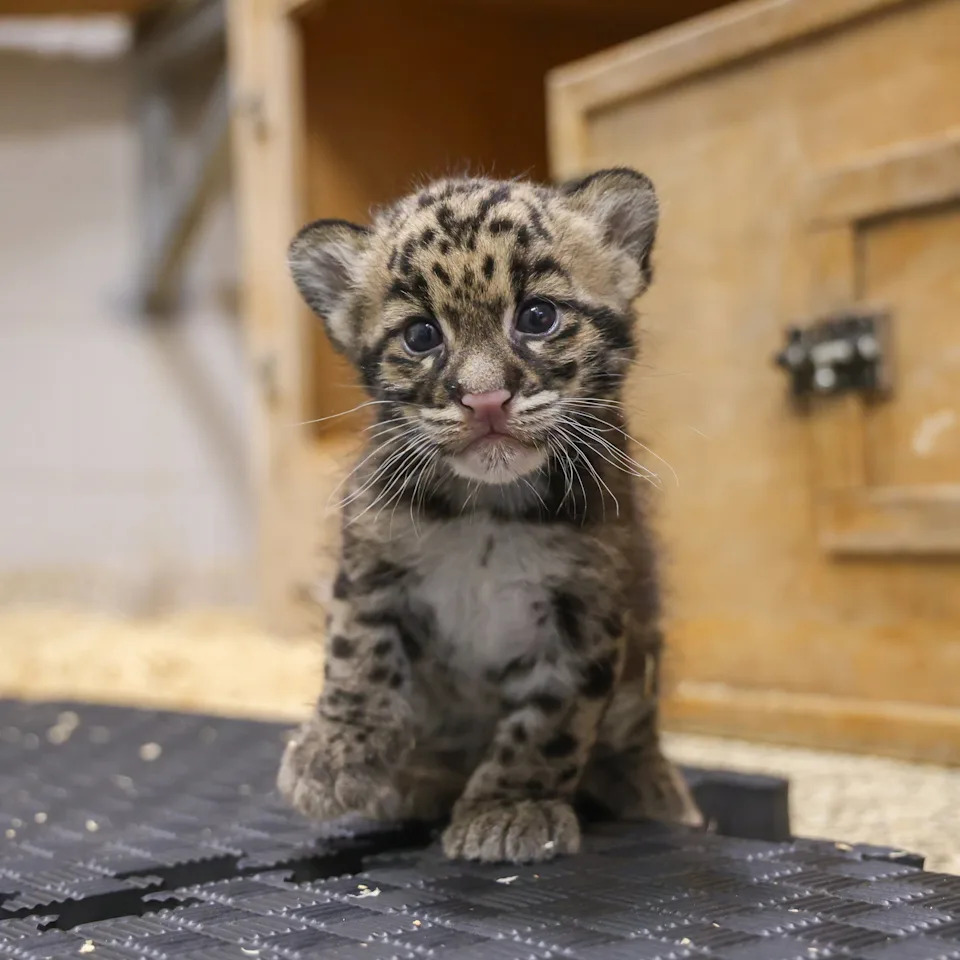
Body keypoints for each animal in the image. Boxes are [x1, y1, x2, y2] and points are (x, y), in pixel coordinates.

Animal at [278, 168, 702, 863]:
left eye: (538, 316)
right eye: (421, 334)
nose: (484, 399)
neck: (487, 511)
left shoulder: (586, 605)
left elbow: (551, 721)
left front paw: (509, 807)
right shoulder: (373, 558)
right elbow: (356, 649)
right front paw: (335, 751)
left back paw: (655, 791)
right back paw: (413, 778)